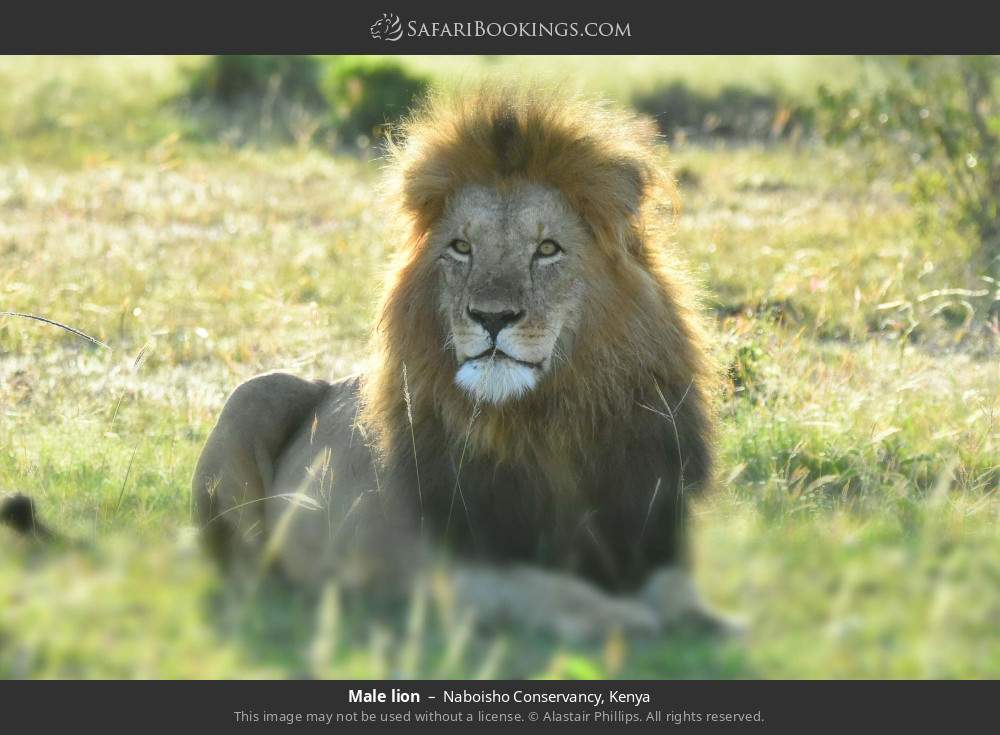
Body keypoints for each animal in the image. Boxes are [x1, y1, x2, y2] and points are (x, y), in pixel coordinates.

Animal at [191, 85, 732, 640]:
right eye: (461, 248)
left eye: (547, 249)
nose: (492, 316)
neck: (550, 423)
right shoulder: (446, 564)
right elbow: (541, 589)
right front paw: (620, 619)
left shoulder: (650, 526)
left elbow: (675, 585)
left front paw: (710, 619)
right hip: (253, 394)